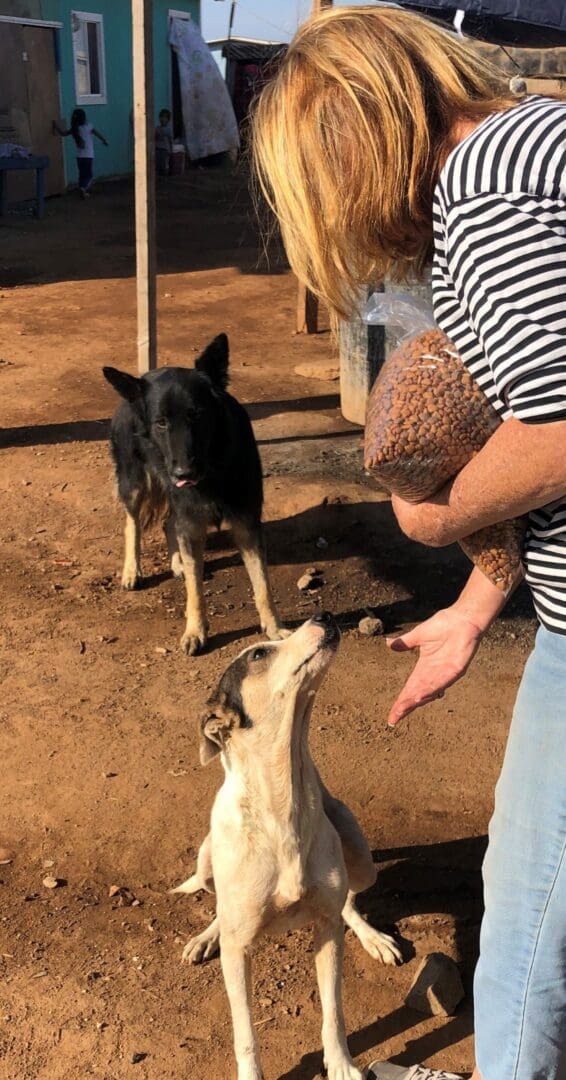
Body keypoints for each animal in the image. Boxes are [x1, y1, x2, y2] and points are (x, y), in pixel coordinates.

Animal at [102, 332, 287, 652]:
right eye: (161, 423)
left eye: (197, 416)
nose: (183, 474)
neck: (213, 469)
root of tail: (133, 388)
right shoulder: (190, 519)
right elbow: (195, 589)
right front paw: (195, 630)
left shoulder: (247, 524)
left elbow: (262, 583)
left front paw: (273, 627)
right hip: (136, 484)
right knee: (132, 523)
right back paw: (132, 570)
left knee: (168, 523)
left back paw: (177, 563)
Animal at [174, 613, 399, 1075]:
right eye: (259, 653)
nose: (325, 615)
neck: (283, 802)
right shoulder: (239, 954)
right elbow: (245, 1034)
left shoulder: (327, 932)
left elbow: (334, 1011)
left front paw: (341, 1066)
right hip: (205, 861)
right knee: (217, 905)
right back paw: (206, 936)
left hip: (360, 858)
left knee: (350, 901)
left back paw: (374, 938)